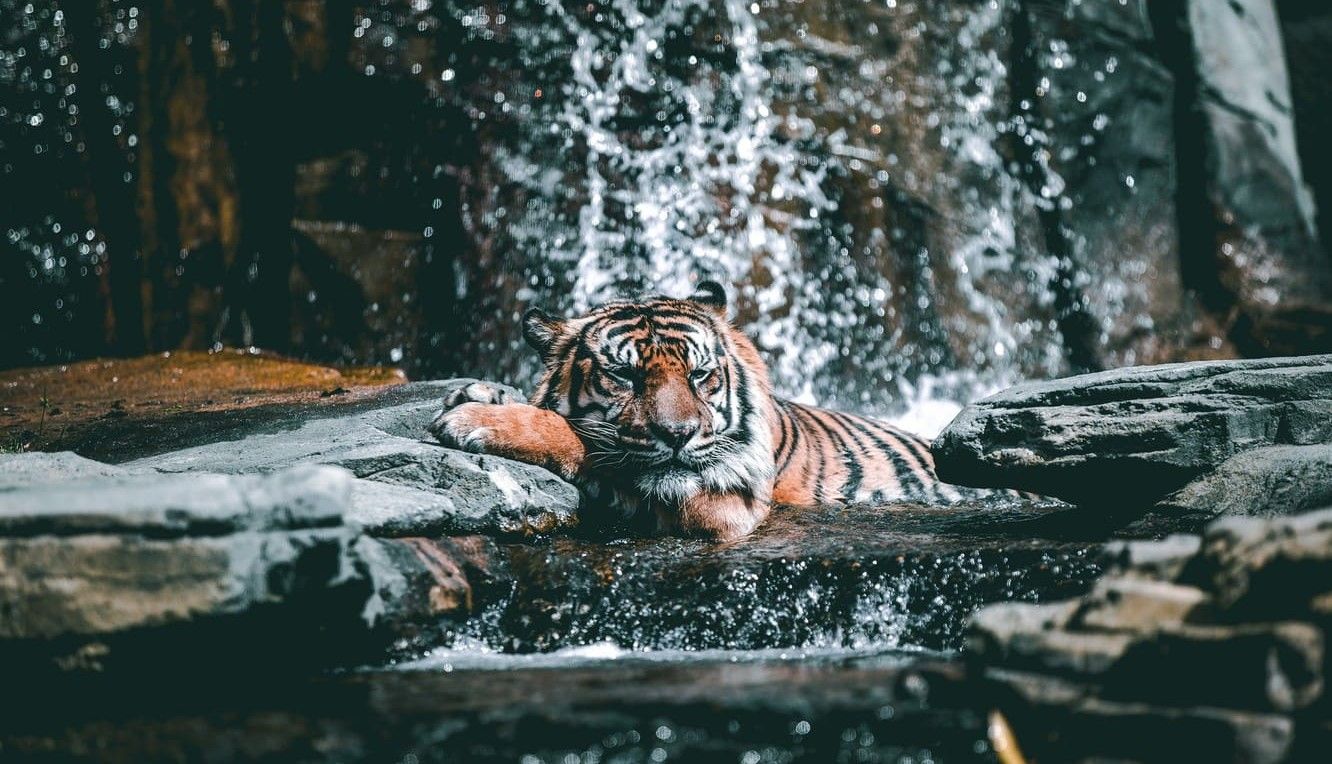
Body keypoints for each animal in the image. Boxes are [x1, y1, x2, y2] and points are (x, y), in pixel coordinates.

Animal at [426, 283, 991, 545]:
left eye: (699, 375)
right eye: (625, 375)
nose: (678, 435)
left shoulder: (727, 501)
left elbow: (591, 443)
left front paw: (475, 418)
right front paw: (480, 393)